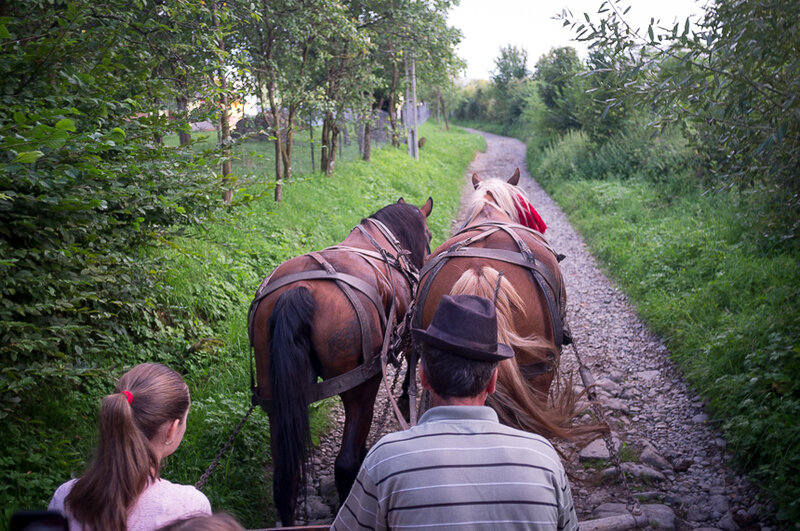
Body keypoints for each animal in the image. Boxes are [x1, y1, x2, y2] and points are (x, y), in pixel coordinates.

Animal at [250, 197, 434, 524]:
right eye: (429, 236)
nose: (422, 263)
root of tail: (298, 291)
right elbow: (412, 365)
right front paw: (402, 399)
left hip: (274, 393)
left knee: (284, 482)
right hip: (361, 385)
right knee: (345, 462)